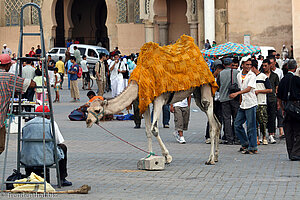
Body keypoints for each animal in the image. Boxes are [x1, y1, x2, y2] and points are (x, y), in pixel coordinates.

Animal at [85, 80, 221, 165]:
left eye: (97, 110)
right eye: (87, 109)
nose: (88, 121)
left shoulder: (159, 100)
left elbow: (154, 129)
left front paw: (167, 157)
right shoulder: (144, 102)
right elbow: (147, 131)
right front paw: (149, 157)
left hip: (206, 90)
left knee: (212, 125)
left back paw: (210, 159)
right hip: (197, 93)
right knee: (218, 124)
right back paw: (216, 157)